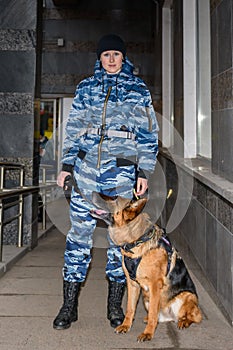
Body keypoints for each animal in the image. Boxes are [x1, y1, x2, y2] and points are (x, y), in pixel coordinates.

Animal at [91, 191, 202, 342]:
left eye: (114, 198)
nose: (91, 192)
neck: (136, 241)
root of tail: (169, 316)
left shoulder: (155, 285)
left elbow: (153, 314)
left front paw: (148, 333)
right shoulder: (132, 283)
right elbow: (130, 308)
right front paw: (126, 326)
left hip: (187, 296)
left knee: (195, 316)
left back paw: (183, 321)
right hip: (146, 298)